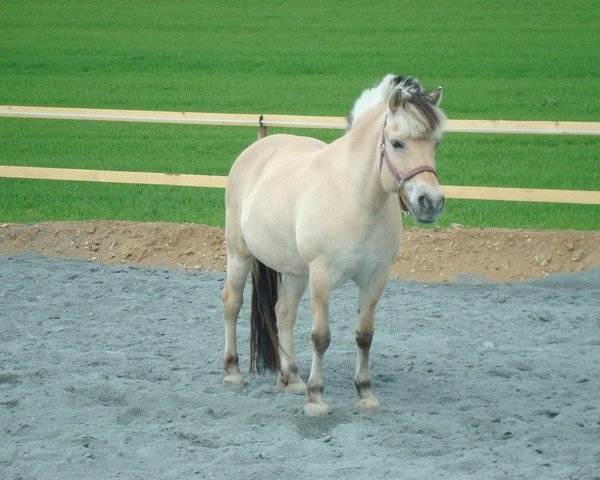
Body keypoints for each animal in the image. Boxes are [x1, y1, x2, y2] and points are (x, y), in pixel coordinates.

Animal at [221, 73, 446, 414]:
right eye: (397, 143)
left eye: (435, 143)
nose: (430, 202)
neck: (356, 199)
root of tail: (256, 149)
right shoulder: (322, 276)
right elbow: (320, 337)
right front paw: (316, 398)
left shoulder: (375, 279)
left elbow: (364, 335)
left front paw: (365, 393)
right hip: (240, 254)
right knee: (232, 304)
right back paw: (233, 372)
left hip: (295, 272)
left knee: (284, 313)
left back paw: (291, 378)